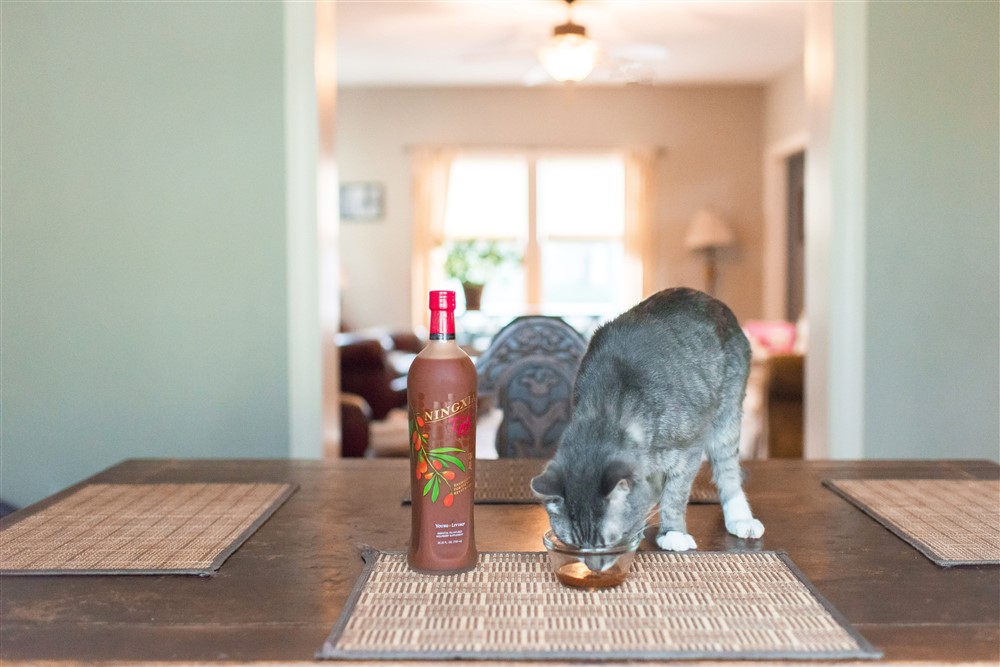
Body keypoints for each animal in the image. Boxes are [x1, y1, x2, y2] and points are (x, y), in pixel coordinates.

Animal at [530, 287, 764, 556]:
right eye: (576, 543)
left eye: (609, 541)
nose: (593, 559)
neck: (608, 409)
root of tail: (708, 298)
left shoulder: (689, 449)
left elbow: (675, 495)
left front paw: (672, 532)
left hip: (727, 415)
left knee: (727, 469)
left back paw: (740, 518)